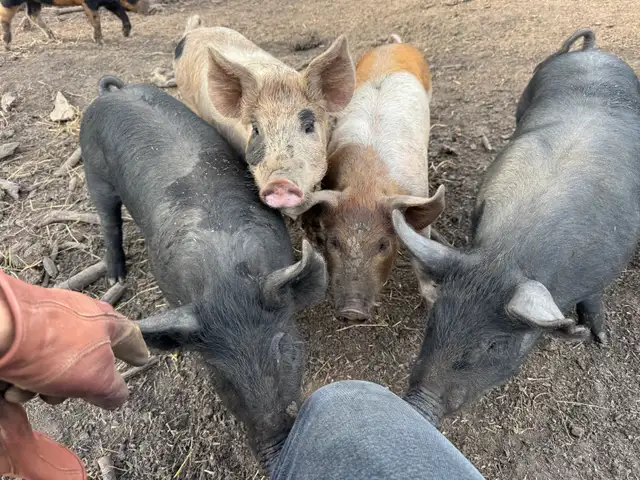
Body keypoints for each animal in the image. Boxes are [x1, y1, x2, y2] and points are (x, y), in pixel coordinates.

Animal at [1, 0, 149, 49]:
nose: (150, 8)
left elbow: (120, 10)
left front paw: (126, 33)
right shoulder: (90, 3)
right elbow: (96, 19)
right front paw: (101, 42)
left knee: (32, 14)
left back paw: (54, 37)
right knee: (5, 17)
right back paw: (7, 46)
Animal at [80, 76, 327, 472]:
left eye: (284, 348)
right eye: (220, 376)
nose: (279, 449)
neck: (225, 273)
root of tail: (111, 92)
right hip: (94, 170)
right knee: (108, 220)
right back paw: (117, 278)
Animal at [294, 34, 446, 320]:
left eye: (383, 245)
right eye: (334, 241)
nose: (352, 311)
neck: (367, 183)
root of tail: (393, 44)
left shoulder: (418, 192)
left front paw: (432, 303)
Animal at [392, 28, 640, 425]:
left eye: (495, 344)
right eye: (434, 319)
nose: (416, 405)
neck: (507, 254)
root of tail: (592, 49)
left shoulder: (606, 266)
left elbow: (594, 298)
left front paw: (600, 338)